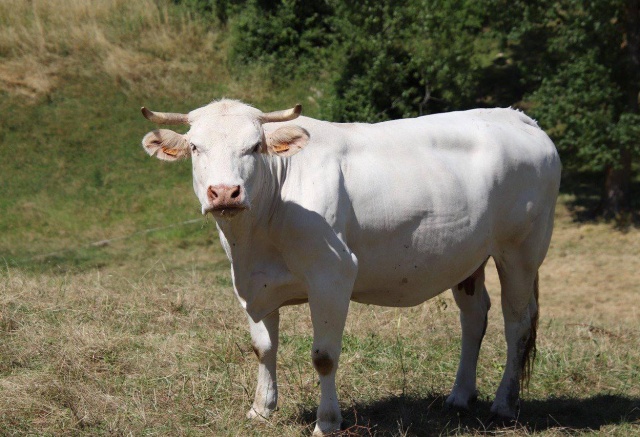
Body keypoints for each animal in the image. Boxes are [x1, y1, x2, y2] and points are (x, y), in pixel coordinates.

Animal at [139, 99, 561, 435]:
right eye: (196, 147)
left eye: (255, 146)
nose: (225, 192)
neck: (257, 236)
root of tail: (519, 117)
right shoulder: (252, 283)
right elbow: (263, 348)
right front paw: (262, 409)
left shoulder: (332, 275)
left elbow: (324, 356)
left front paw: (327, 421)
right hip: (468, 256)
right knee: (474, 317)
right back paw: (459, 396)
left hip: (521, 250)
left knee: (517, 323)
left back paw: (504, 404)